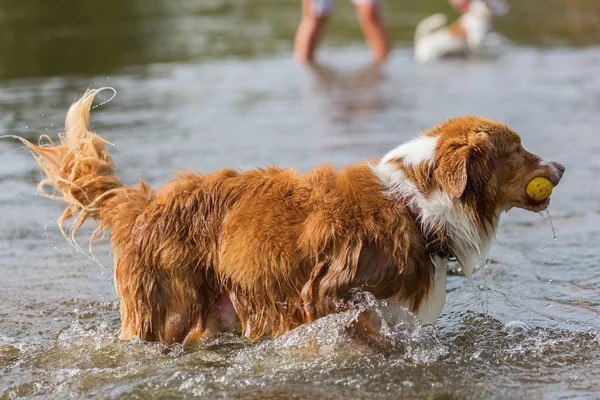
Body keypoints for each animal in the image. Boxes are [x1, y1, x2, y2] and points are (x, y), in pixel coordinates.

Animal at [16, 90, 564, 344]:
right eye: (518, 150)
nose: (561, 167)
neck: (415, 209)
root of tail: (142, 203)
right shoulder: (325, 293)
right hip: (165, 312)